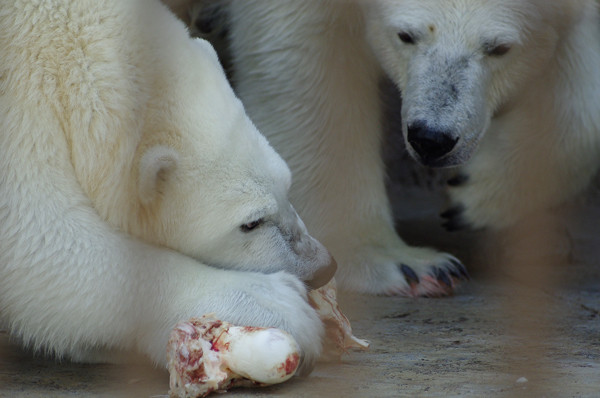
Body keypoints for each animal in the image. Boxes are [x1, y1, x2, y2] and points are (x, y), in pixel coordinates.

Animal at [0, 0, 338, 374]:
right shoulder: (18, 106)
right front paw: (280, 304)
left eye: (287, 185)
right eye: (250, 223)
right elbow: (40, 241)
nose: (323, 266)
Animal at [178, 0, 600, 296]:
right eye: (406, 35)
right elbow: (310, 60)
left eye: (500, 47)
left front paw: (475, 194)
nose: (431, 137)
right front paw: (409, 265)